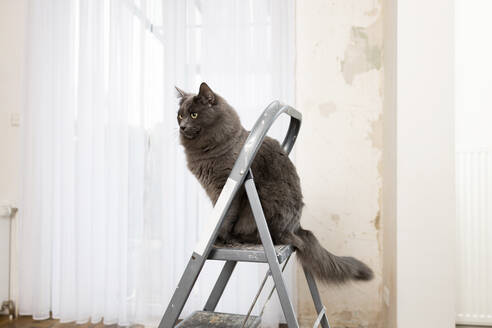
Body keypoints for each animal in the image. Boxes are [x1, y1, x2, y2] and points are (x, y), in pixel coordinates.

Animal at [177, 82, 372, 284]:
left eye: (194, 115)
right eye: (180, 115)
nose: (182, 126)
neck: (210, 148)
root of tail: (298, 228)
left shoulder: (227, 189)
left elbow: (225, 216)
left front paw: (217, 238)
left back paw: (240, 237)